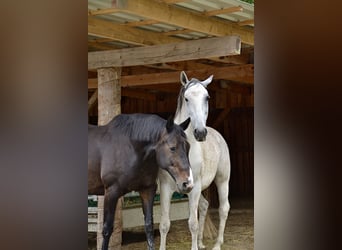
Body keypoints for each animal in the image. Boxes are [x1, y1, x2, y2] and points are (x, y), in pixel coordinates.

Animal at [87, 114, 192, 250]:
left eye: (188, 147)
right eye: (172, 148)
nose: (188, 183)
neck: (131, 148)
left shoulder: (147, 190)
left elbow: (149, 225)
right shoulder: (111, 192)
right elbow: (106, 229)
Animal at [159, 71, 231, 249]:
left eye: (207, 97)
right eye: (186, 98)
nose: (200, 132)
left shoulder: (195, 187)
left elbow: (193, 223)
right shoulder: (165, 188)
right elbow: (164, 224)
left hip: (222, 180)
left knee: (223, 209)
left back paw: (217, 244)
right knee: (204, 206)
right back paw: (201, 242)